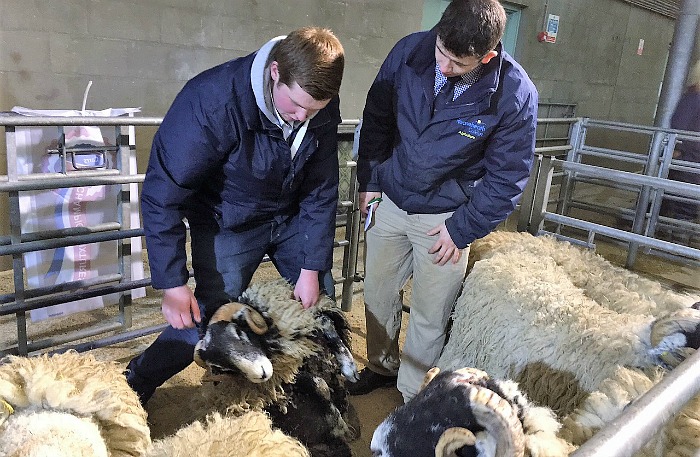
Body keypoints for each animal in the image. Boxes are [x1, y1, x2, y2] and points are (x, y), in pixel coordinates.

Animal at [189, 278, 358, 456]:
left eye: (238, 332)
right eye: (225, 368)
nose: (261, 374)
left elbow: (327, 324)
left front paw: (348, 367)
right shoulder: (284, 382)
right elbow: (319, 384)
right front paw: (340, 425)